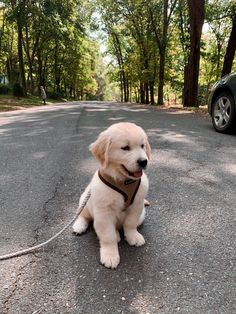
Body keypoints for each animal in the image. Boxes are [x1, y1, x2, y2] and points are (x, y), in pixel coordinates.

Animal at [72, 121, 152, 268]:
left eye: (142, 145)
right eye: (125, 148)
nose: (144, 161)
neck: (123, 180)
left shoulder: (137, 205)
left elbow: (130, 224)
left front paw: (133, 236)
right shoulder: (104, 212)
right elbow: (108, 236)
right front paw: (110, 255)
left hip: (142, 214)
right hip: (85, 199)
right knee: (83, 216)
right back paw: (79, 226)